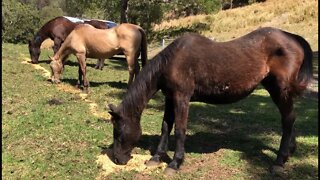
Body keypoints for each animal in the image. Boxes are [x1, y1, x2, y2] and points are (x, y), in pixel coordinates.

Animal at [107, 27, 312, 174]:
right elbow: (165, 127)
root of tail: (292, 37)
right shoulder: (170, 98)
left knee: (288, 120)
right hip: (275, 88)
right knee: (290, 118)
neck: (172, 61)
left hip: (280, 89)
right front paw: (156, 158)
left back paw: (279, 162)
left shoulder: (181, 98)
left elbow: (180, 129)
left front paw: (175, 163)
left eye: (118, 132)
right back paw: (289, 152)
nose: (117, 159)